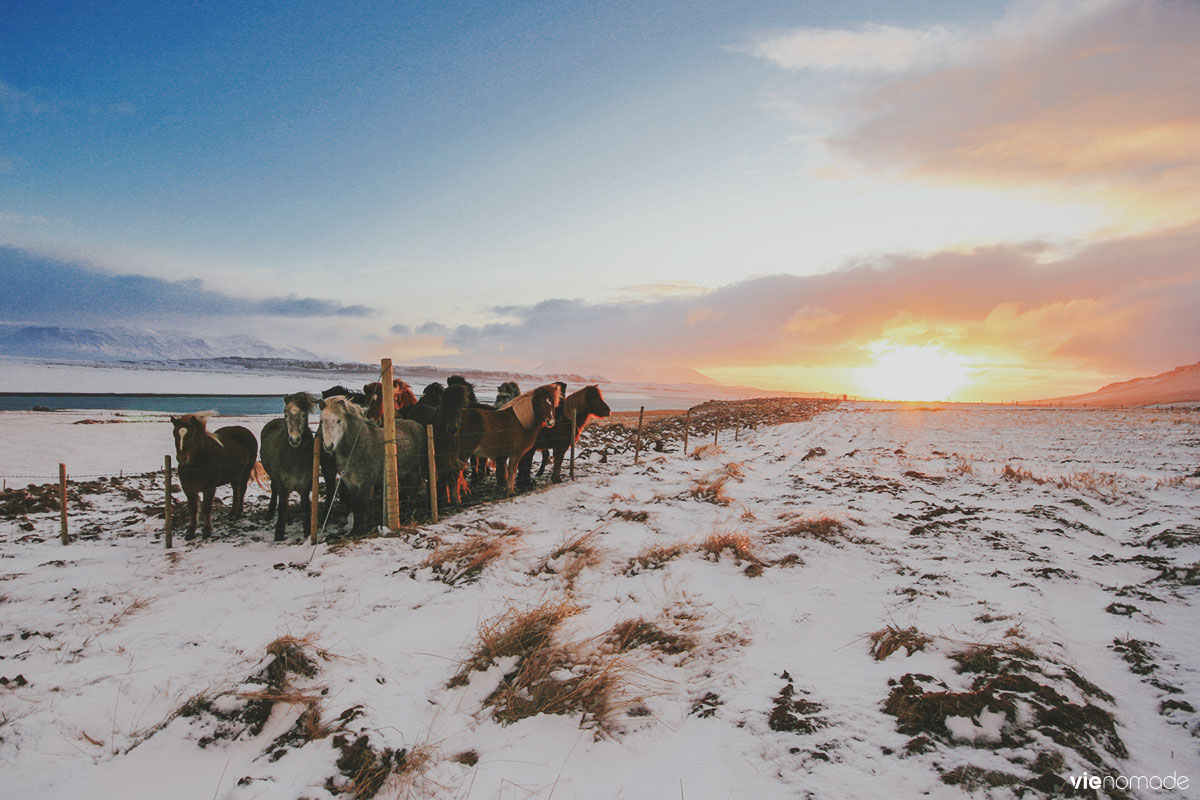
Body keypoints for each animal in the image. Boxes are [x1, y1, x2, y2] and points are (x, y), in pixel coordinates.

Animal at [256, 393, 316, 542]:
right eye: (286, 414)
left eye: (304, 415)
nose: (294, 440)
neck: (295, 459)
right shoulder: (283, 483)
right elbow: (282, 505)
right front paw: (279, 533)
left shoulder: (305, 485)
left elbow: (305, 507)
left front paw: (307, 531)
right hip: (273, 477)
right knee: (274, 491)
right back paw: (271, 513)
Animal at [321, 395, 429, 534]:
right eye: (321, 421)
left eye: (339, 420)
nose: (328, 446)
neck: (356, 448)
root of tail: (416, 425)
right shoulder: (350, 484)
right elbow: (355, 506)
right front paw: (354, 530)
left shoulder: (365, 483)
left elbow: (362, 505)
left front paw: (360, 530)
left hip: (413, 472)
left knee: (412, 493)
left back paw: (410, 517)